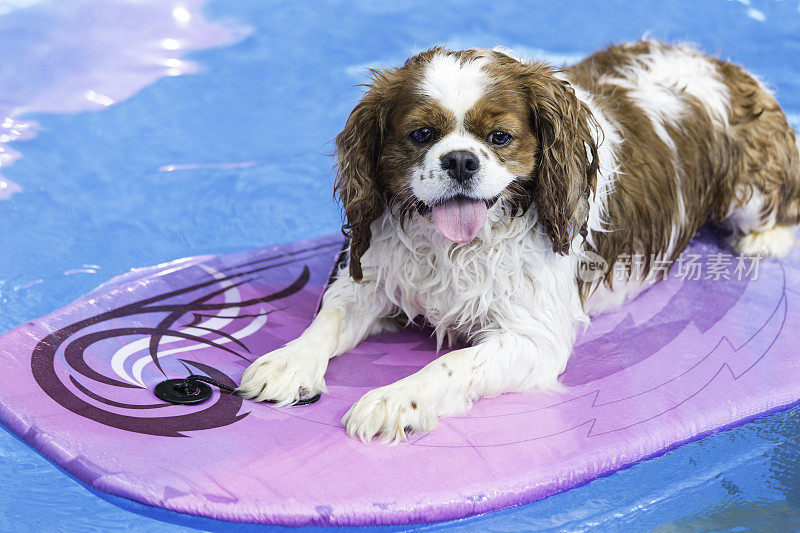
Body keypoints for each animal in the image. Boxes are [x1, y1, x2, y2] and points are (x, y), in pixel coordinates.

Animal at [238, 40, 800, 440]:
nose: (460, 159)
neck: (460, 245)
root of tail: (717, 62)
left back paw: (764, 241)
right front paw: (288, 360)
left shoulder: (533, 339)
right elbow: (329, 319)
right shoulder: (371, 276)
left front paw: (396, 399)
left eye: (500, 137)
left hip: (751, 184)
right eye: (421, 135)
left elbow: (451, 363)